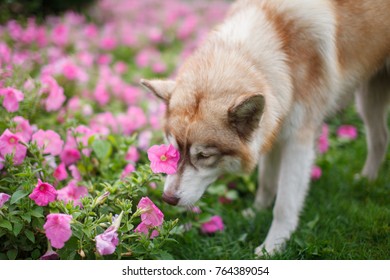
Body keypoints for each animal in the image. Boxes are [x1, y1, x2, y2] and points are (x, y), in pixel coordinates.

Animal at [142, 0, 390, 255]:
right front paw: (257, 211)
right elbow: (267, 182)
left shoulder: (298, 142)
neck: (281, 46)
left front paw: (273, 246)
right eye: (173, 152)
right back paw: (366, 181)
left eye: (204, 156)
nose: (168, 199)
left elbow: (284, 204)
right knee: (381, 138)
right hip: (368, 100)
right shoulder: (273, 131)